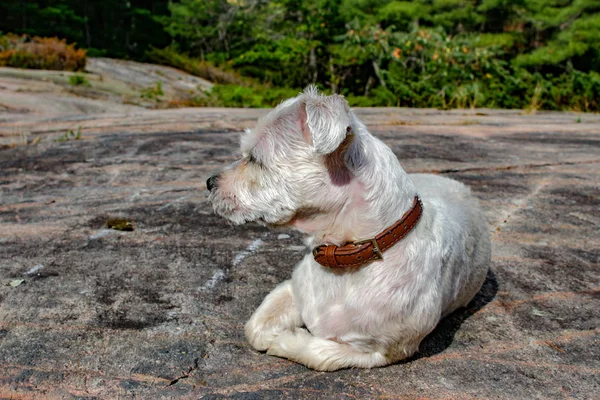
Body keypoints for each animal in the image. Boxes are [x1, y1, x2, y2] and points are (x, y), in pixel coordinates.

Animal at [209, 87, 490, 372]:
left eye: (256, 159)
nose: (209, 182)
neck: (348, 253)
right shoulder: (292, 288)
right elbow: (256, 327)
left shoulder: (384, 351)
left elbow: (321, 354)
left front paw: (287, 339)